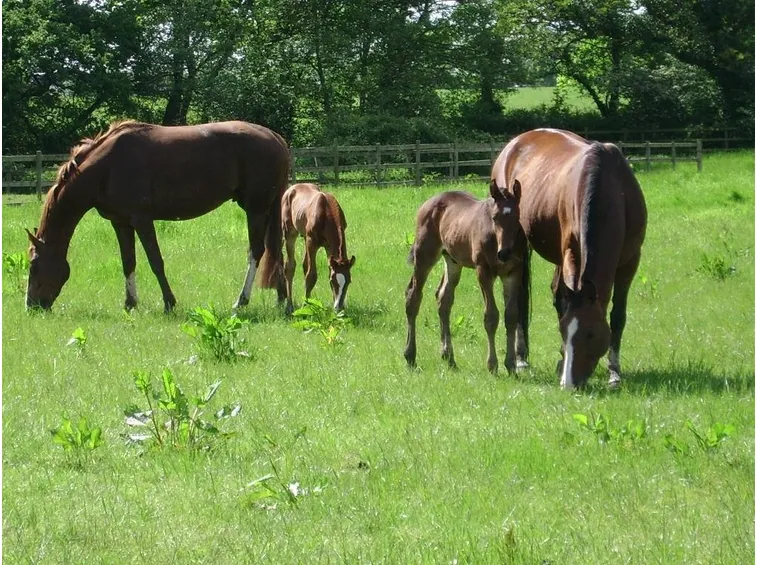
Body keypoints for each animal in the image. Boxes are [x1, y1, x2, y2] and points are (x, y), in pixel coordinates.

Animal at [25, 120, 289, 313]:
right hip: (267, 209)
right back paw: (283, 301)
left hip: (256, 209)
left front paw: (169, 303)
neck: (106, 168)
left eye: (33, 266)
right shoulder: (120, 223)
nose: (31, 306)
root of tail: (275, 138)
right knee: (276, 249)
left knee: (256, 251)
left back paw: (241, 301)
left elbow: (155, 262)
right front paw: (130, 304)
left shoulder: (142, 220)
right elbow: (128, 262)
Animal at [281, 183, 355, 313]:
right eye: (333, 281)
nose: (339, 307)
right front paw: (305, 306)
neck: (327, 211)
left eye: (349, 281)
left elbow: (328, 270)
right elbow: (311, 276)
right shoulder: (312, 242)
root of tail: (291, 187)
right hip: (290, 233)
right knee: (290, 266)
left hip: (305, 237)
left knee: (304, 265)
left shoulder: (329, 246)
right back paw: (289, 306)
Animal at [403, 180, 529, 374]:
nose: (504, 254)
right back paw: (410, 355)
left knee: (444, 298)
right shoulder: (483, 271)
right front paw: (492, 365)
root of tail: (429, 202)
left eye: (517, 217)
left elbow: (511, 316)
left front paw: (511, 365)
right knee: (413, 295)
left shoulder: (513, 273)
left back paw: (448, 356)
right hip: (425, 254)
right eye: (494, 218)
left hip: (452, 261)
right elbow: (491, 316)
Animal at [492, 128, 647, 390]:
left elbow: (617, 316)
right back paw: (521, 358)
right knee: (521, 298)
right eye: (563, 331)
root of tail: (514, 144)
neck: (611, 188)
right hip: (518, 247)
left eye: (590, 333)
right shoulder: (572, 255)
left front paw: (614, 372)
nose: (569, 384)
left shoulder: (629, 263)